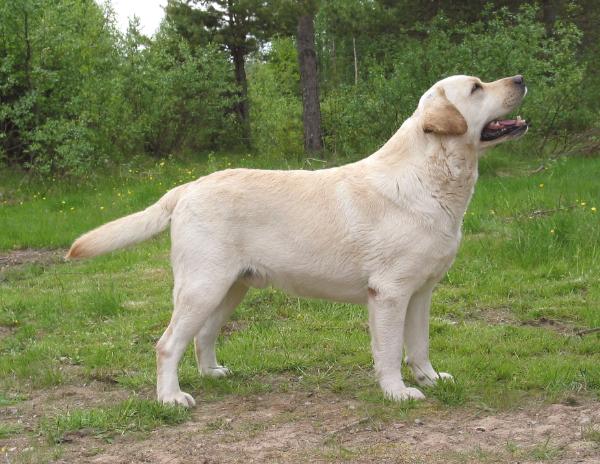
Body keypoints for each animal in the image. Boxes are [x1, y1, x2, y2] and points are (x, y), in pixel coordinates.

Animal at [68, 74, 528, 404]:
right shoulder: (390, 294)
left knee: (203, 336)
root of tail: (187, 187)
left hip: (231, 288)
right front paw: (397, 393)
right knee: (166, 345)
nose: (521, 78)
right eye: (476, 88)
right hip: (203, 286)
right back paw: (171, 398)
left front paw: (431, 379)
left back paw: (212, 373)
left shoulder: (421, 292)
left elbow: (419, 345)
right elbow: (389, 350)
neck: (431, 178)